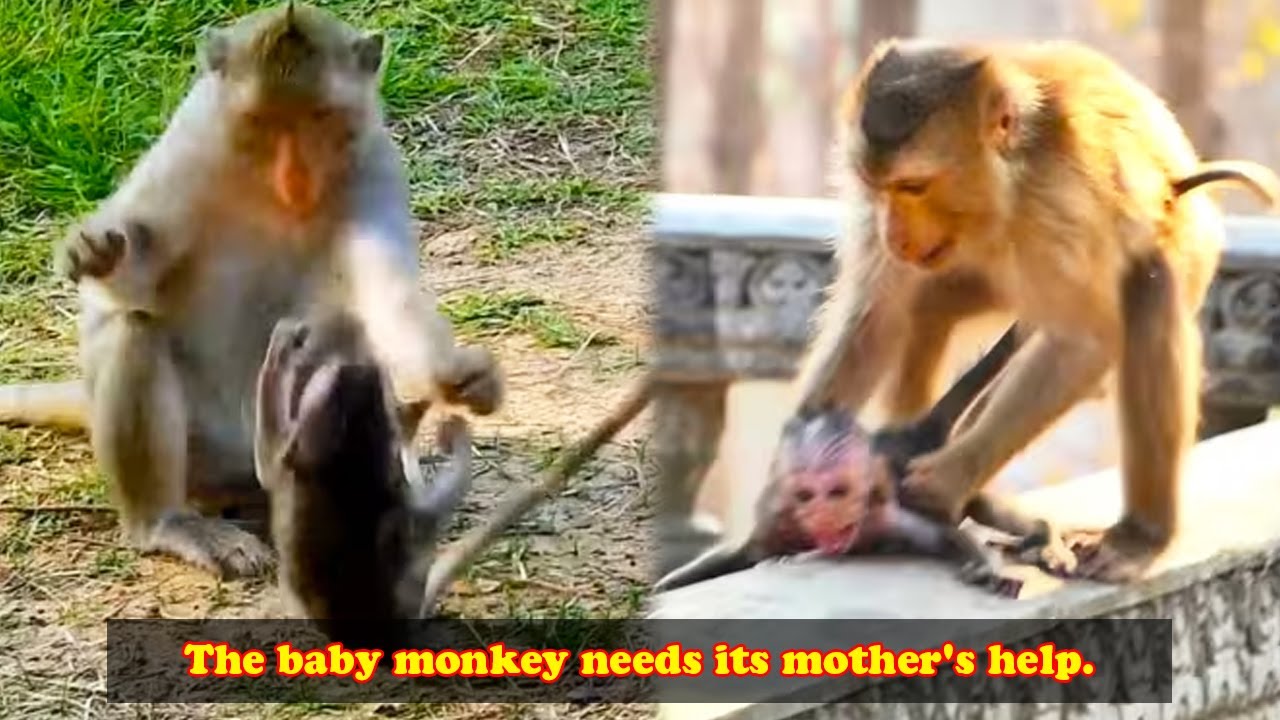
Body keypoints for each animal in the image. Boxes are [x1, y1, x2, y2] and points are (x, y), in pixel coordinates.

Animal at [0, 3, 503, 578]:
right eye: (263, 124)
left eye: (319, 119)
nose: (294, 177)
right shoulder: (189, 149)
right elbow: (136, 284)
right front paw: (101, 253)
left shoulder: (374, 164)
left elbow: (387, 299)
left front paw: (457, 375)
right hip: (203, 451)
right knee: (134, 331)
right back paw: (166, 521)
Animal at [653, 324, 1074, 596]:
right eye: (806, 496)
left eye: (838, 492)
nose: (824, 516)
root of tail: (912, 432)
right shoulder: (778, 515)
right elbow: (743, 552)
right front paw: (666, 585)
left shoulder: (882, 510)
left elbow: (941, 536)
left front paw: (984, 566)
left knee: (976, 505)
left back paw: (1042, 533)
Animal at [785, 38, 1280, 584]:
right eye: (879, 188)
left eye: (913, 186)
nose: (895, 234)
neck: (1006, 189)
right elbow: (877, 315)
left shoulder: (1059, 203)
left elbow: (1083, 341)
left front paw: (944, 483)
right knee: (928, 305)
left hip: (1189, 239)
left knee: (1151, 295)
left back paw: (1139, 535)